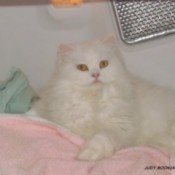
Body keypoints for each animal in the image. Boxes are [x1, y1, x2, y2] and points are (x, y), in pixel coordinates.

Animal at [34, 36, 175, 161]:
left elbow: (102, 138)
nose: (96, 74)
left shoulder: (119, 127)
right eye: (82, 67)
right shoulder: (73, 124)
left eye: (103, 64)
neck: (94, 99)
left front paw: (86, 154)